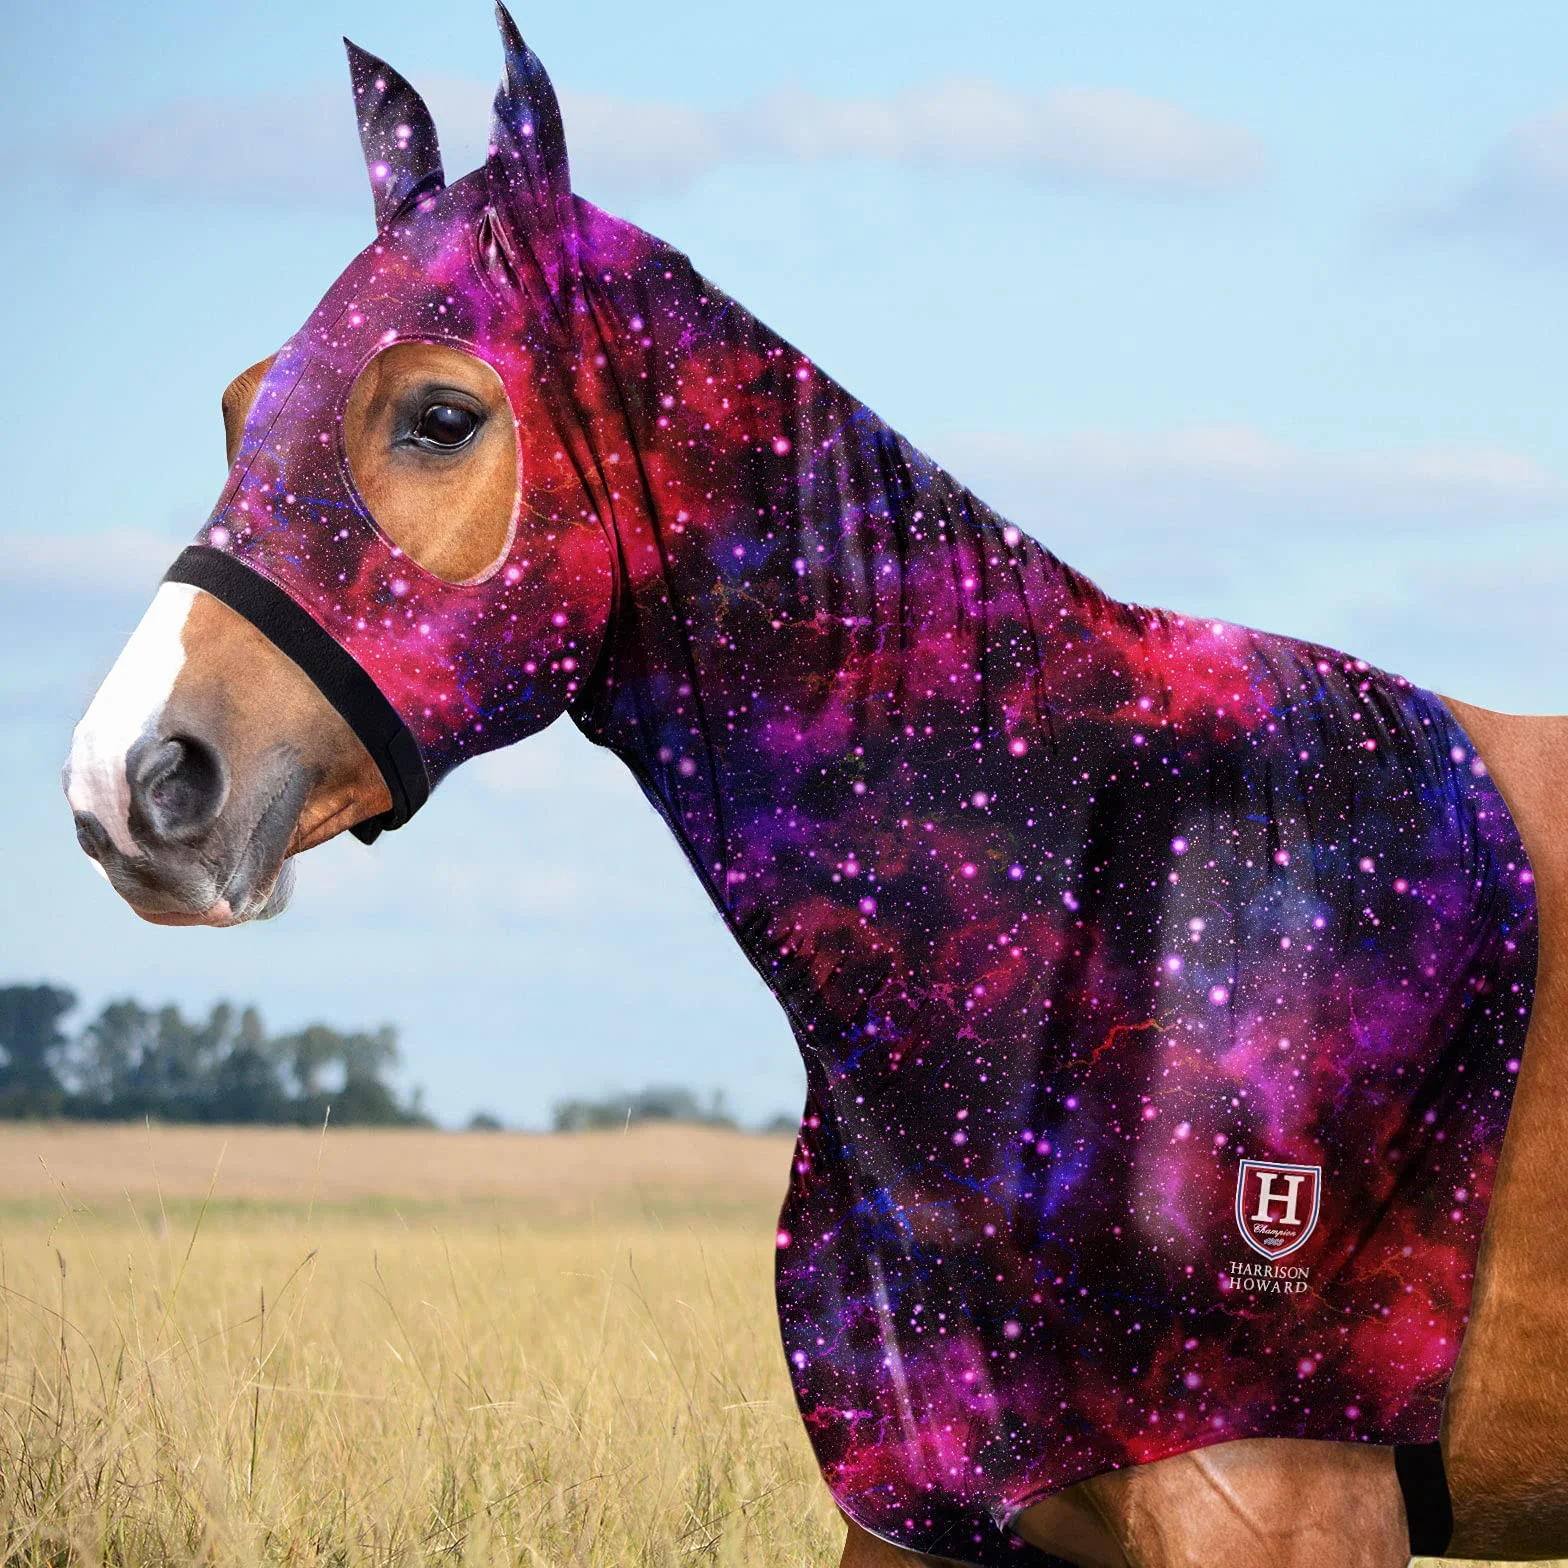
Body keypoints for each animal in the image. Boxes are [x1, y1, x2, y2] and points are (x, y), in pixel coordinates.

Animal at [62, 9, 1568, 1565]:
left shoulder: (1280, 1506)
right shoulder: (915, 1519)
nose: (130, 777)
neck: (1091, 885)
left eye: (438, 414)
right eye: (236, 404)